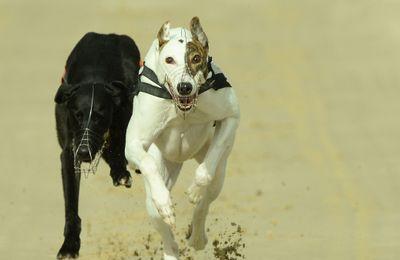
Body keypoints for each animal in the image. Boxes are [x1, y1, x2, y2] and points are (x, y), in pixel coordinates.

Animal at [53, 32, 141, 258]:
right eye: (77, 114)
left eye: (99, 116)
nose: (84, 153)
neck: (94, 76)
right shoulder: (69, 153)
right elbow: (71, 204)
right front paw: (70, 245)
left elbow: (118, 149)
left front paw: (121, 172)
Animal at [125, 17, 239, 258]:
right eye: (169, 59)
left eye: (196, 58)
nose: (184, 87)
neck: (183, 110)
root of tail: (181, 160)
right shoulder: (133, 144)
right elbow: (146, 162)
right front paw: (165, 202)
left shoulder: (231, 115)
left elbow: (207, 168)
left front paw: (195, 189)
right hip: (158, 182)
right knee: (164, 228)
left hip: (217, 173)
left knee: (205, 202)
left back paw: (196, 236)